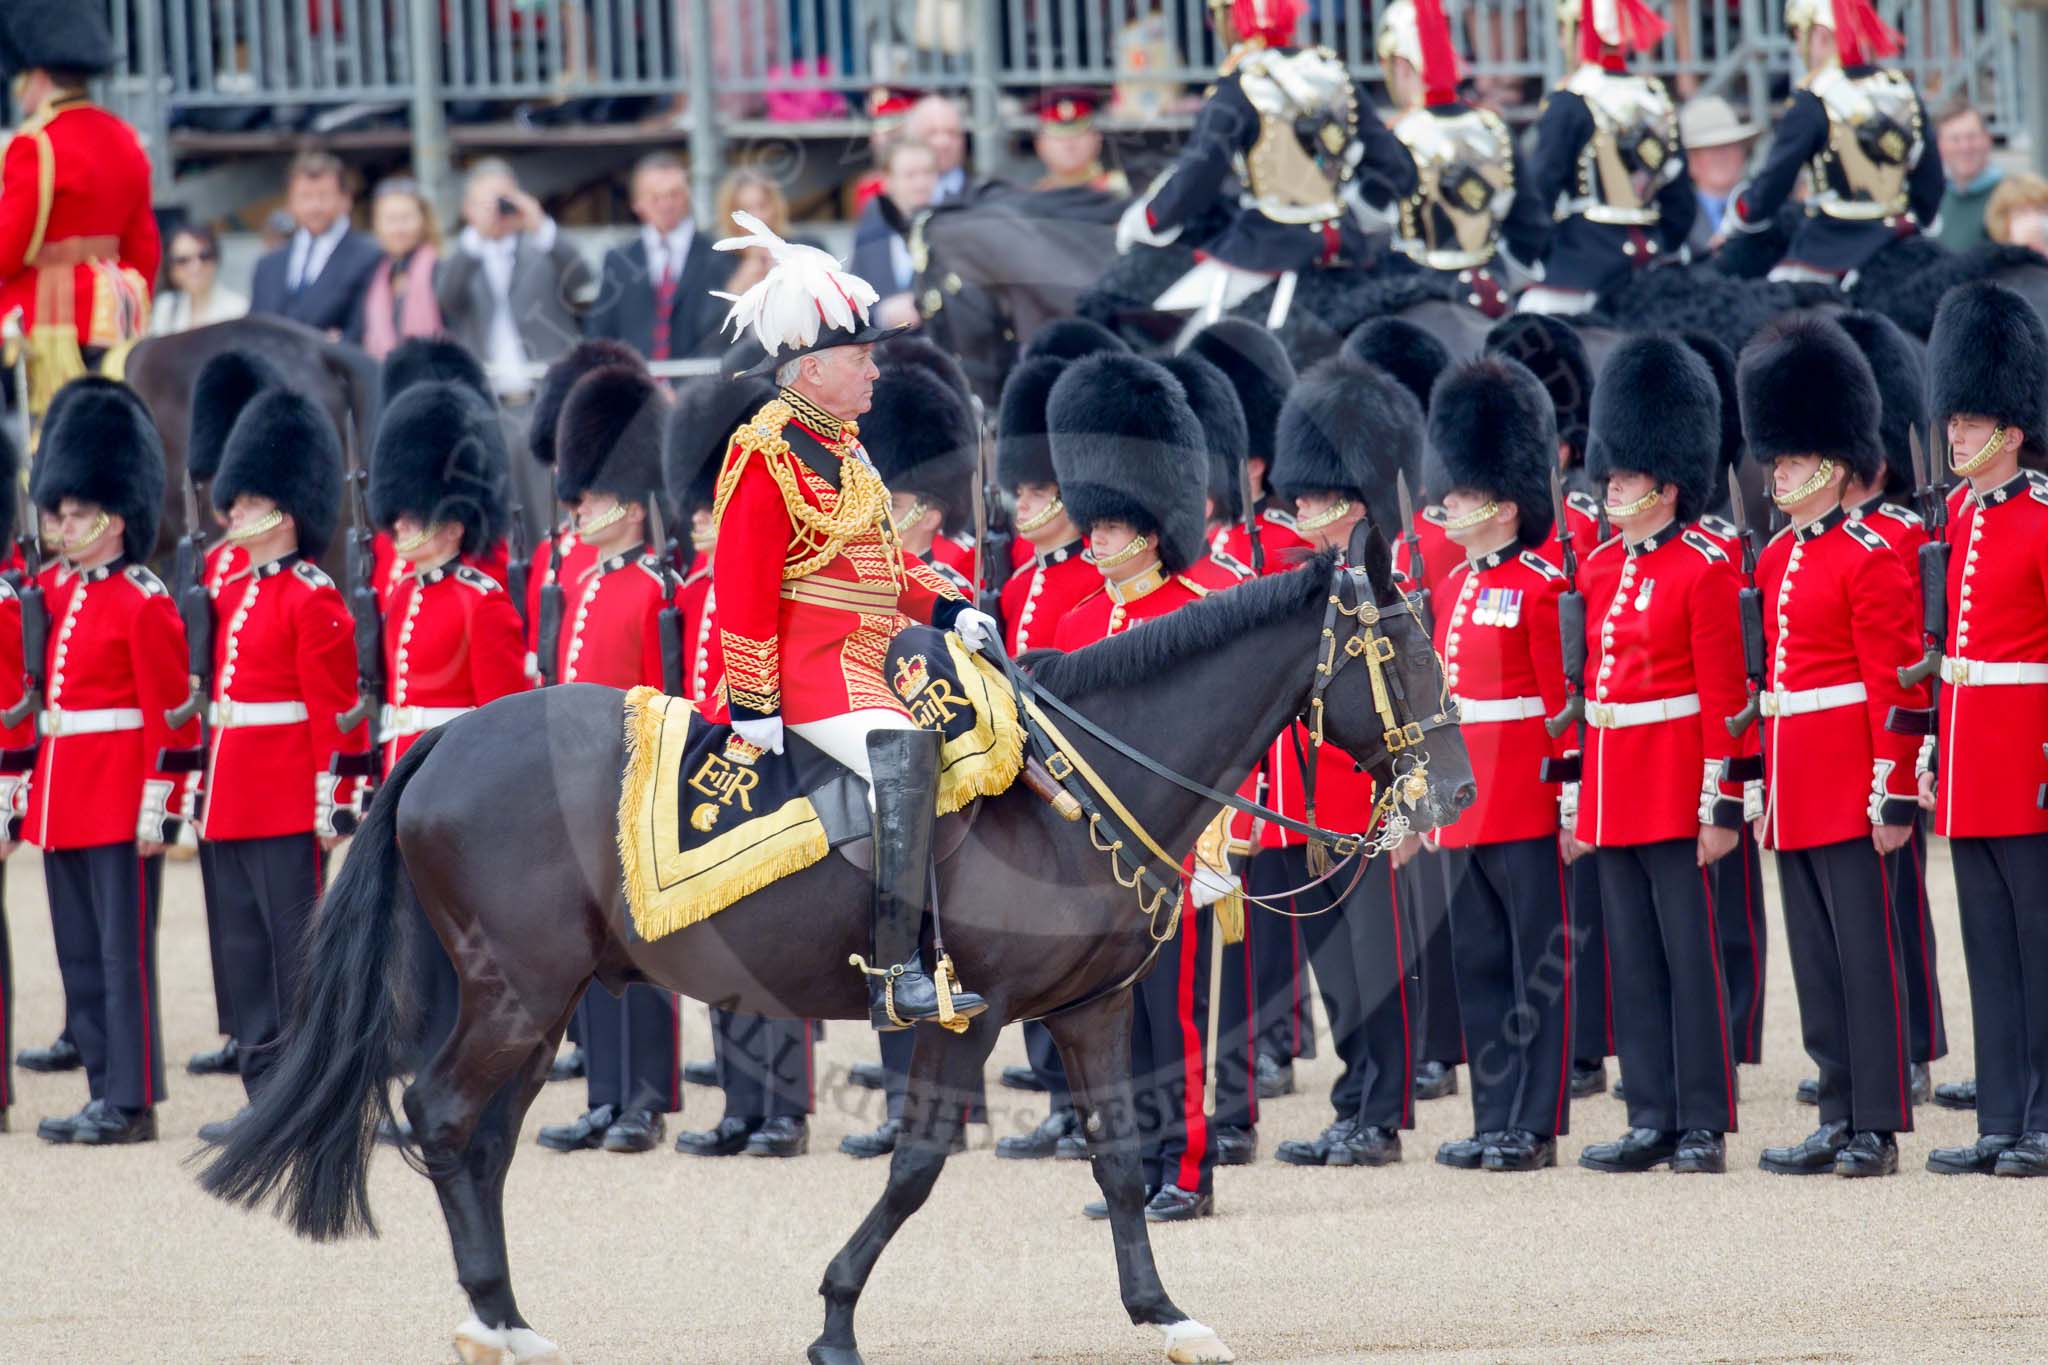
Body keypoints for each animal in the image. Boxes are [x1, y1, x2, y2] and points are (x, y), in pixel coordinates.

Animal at [195, 532, 1474, 1365]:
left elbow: (1116, 1163)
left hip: (539, 1001)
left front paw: (1161, 1315)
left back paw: (503, 1318)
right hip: (516, 994)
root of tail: (445, 742)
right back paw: (492, 1322)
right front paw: (835, 1318)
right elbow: (916, 1170)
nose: (1453, 795)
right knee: (446, 1116)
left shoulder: (1092, 1008)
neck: (1074, 795)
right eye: (1401, 656)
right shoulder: (967, 1010)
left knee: (483, 1139)